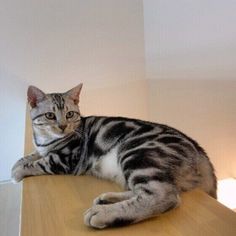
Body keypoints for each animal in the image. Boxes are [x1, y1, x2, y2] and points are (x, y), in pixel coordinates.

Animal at [12, 84, 217, 230]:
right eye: (50, 115)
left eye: (70, 114)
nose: (63, 126)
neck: (45, 140)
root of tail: (197, 148)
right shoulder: (43, 150)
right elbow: (28, 157)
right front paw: (16, 165)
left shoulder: (64, 159)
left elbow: (37, 163)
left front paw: (17, 173)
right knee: (148, 190)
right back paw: (107, 200)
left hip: (137, 153)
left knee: (164, 195)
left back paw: (104, 213)